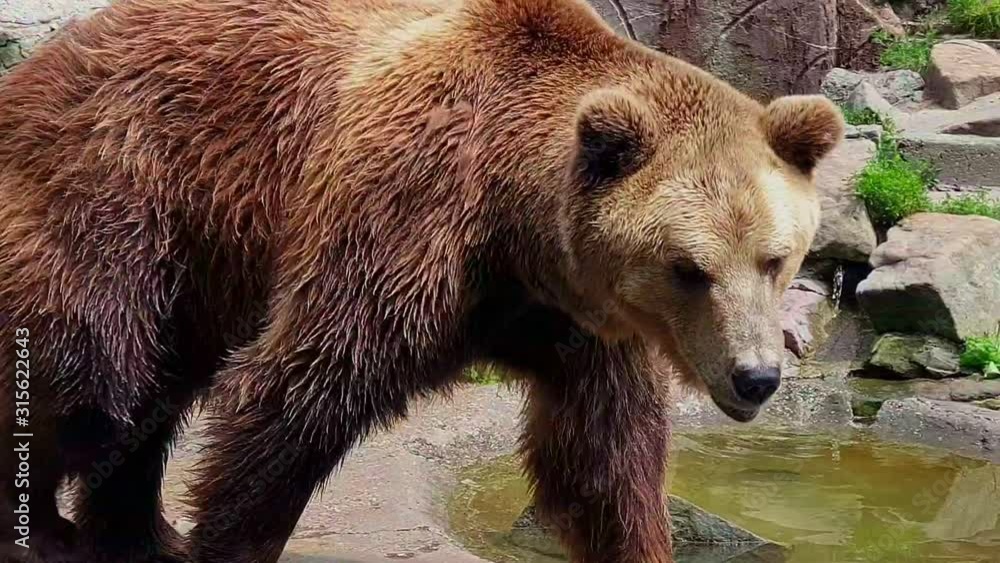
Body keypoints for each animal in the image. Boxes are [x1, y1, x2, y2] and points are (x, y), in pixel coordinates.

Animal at [0, 0, 843, 561]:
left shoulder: (574, 320)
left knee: (152, 391)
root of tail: (38, 68)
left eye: (774, 257)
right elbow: (297, 391)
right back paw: (47, 530)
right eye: (688, 268)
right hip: (122, 187)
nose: (756, 375)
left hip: (204, 264)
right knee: (90, 372)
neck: (518, 229)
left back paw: (138, 532)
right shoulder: (408, 214)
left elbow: (603, 458)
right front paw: (228, 537)